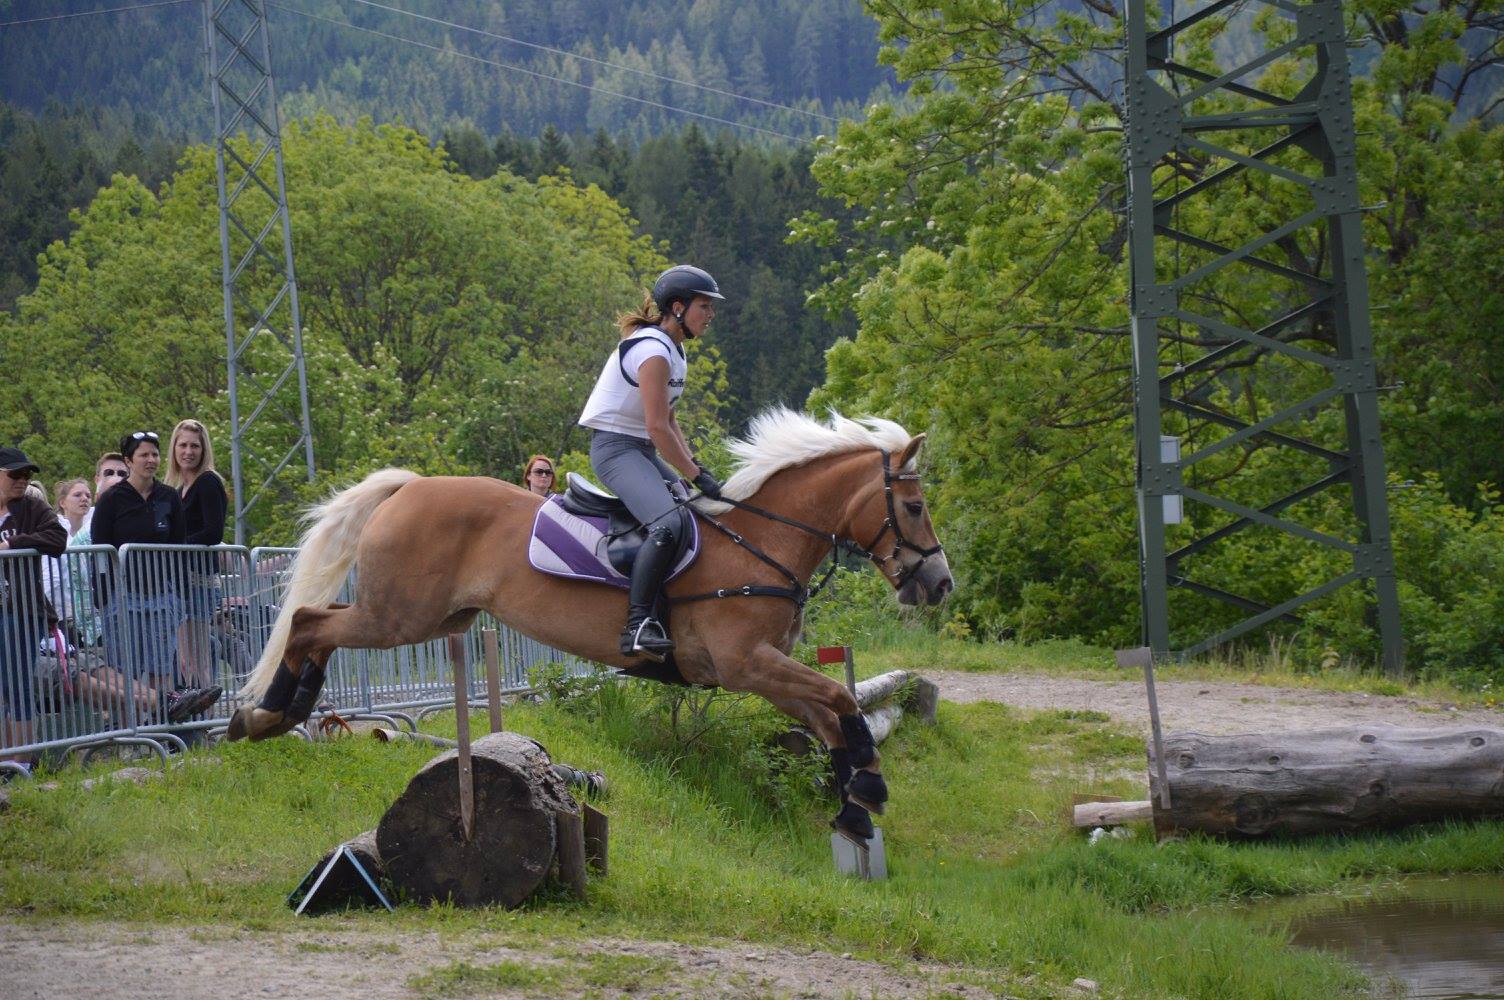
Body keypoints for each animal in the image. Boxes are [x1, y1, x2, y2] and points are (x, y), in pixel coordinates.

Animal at [225, 406, 950, 836]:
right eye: (914, 507)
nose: (940, 583)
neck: (760, 541)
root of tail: (412, 486)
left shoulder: (759, 673)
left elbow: (831, 714)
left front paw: (855, 800)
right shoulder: (746, 664)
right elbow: (838, 700)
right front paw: (868, 784)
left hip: (426, 615)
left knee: (317, 621)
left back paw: (271, 713)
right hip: (398, 616)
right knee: (310, 622)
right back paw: (269, 715)